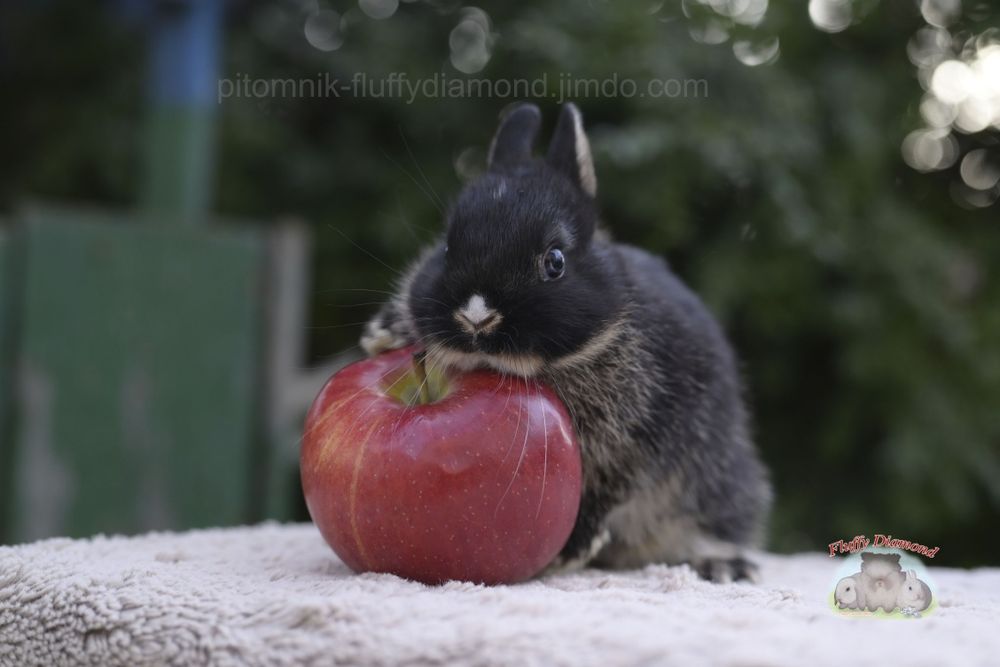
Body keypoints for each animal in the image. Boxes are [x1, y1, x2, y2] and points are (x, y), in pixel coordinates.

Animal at [360, 102, 772, 582]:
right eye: (446, 249)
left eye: (554, 261)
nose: (476, 317)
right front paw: (383, 333)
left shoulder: (631, 442)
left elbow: (608, 488)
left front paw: (572, 548)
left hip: (718, 484)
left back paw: (723, 565)